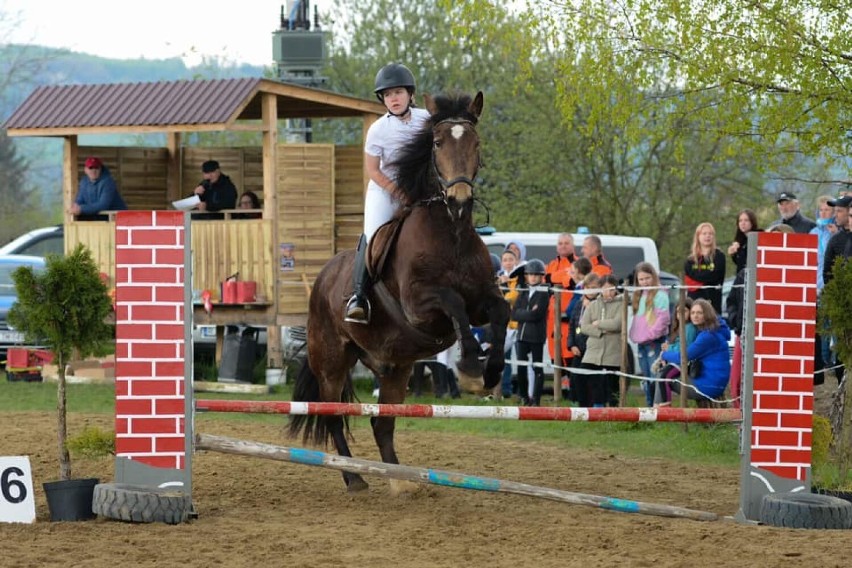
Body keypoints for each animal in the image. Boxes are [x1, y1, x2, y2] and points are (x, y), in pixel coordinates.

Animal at [290, 91, 510, 490]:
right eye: (437, 143)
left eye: (476, 142)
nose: (459, 201)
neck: (451, 233)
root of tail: (321, 279)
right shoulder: (420, 307)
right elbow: (453, 302)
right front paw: (471, 369)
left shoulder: (481, 301)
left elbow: (501, 312)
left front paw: (492, 372)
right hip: (331, 363)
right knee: (333, 417)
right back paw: (354, 479)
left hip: (395, 368)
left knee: (382, 423)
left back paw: (401, 482)